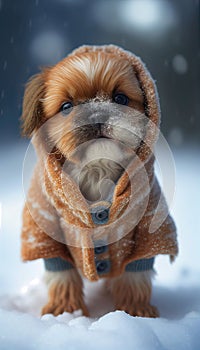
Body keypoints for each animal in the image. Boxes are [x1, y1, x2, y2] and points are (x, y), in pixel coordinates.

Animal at [20, 43, 178, 318]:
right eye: (66, 106)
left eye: (120, 98)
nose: (95, 114)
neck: (96, 170)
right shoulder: (44, 228)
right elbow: (62, 275)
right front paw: (65, 310)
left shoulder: (149, 225)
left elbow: (135, 277)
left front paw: (134, 312)